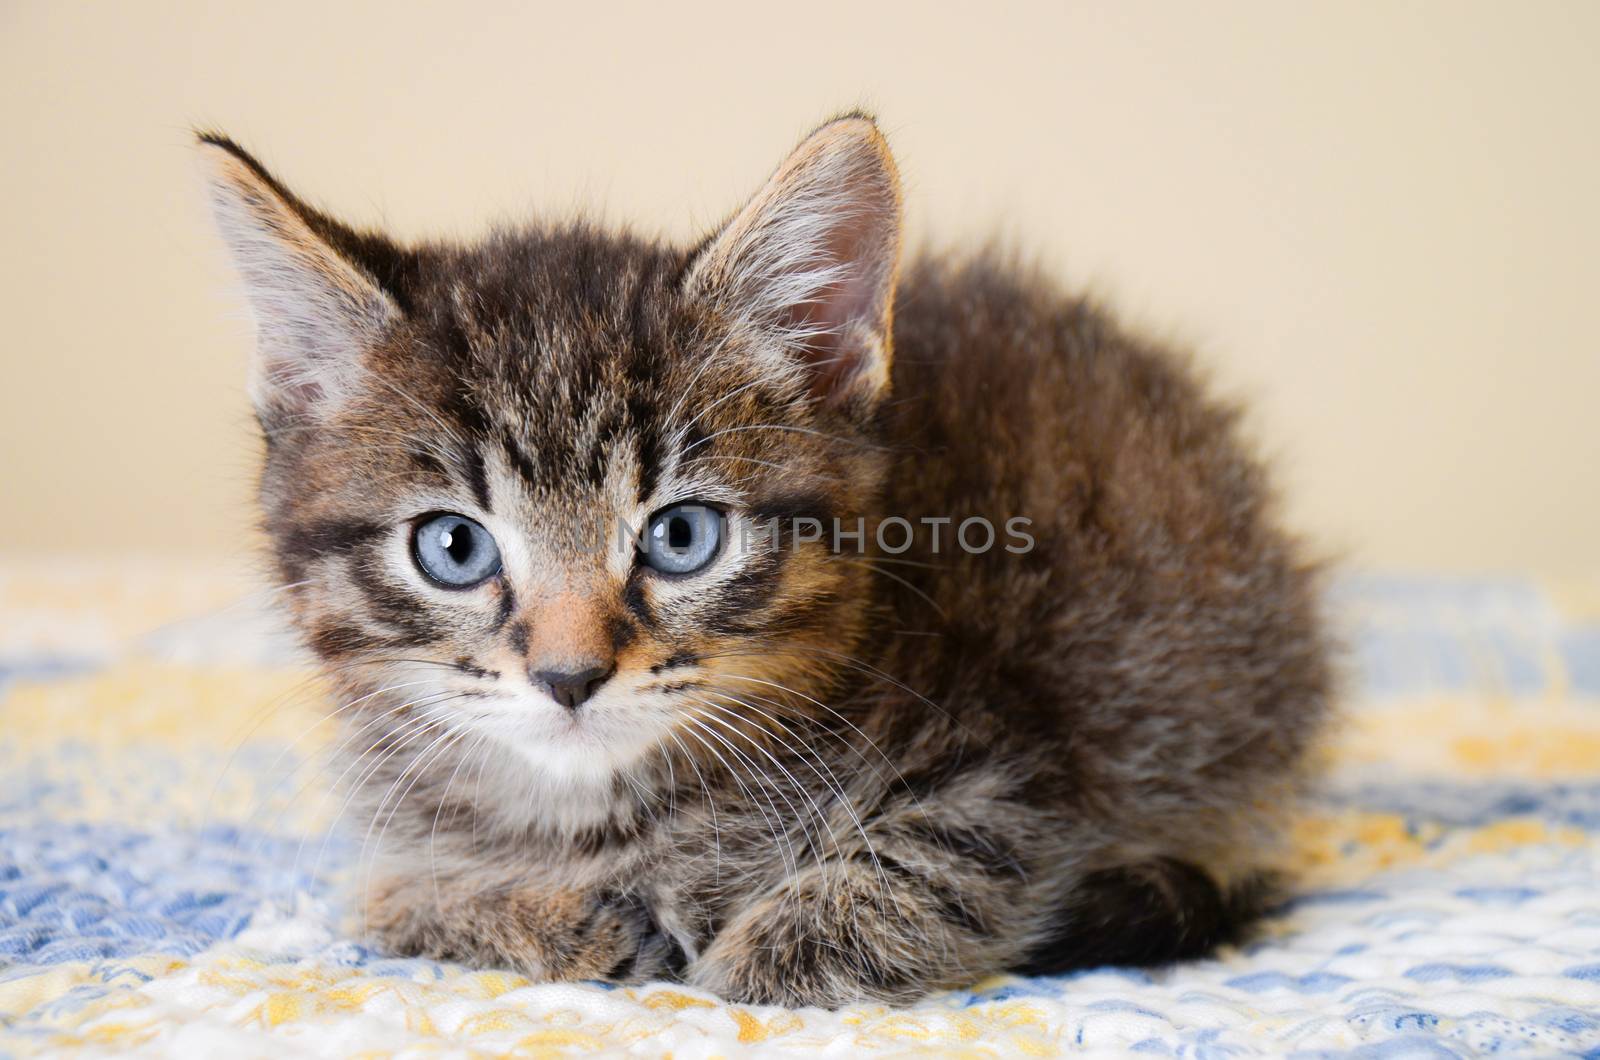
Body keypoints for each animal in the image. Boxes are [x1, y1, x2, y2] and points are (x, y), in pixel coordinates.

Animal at [196, 112, 1324, 1011]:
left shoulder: (1011, 767)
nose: (568, 676)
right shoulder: (396, 832)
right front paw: (555, 919)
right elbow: (389, 900)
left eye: (681, 536)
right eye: (454, 546)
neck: (601, 813)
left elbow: (924, 864)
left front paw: (759, 955)